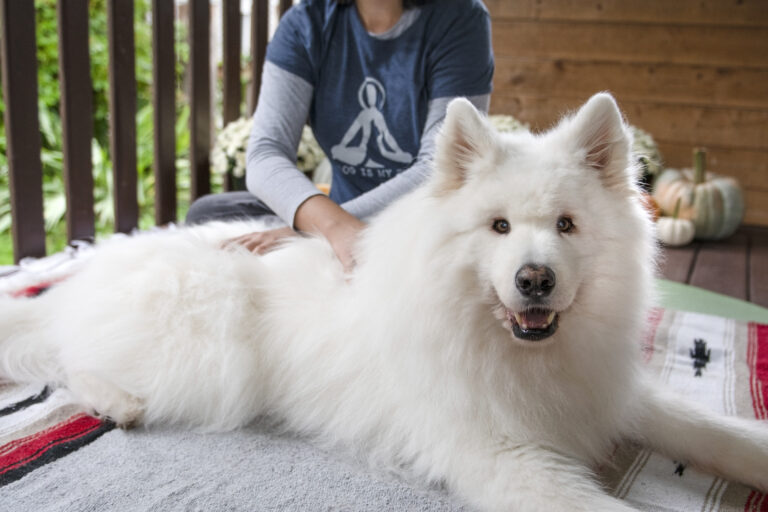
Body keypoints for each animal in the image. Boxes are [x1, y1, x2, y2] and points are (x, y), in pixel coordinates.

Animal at [1, 94, 768, 510]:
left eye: (566, 226)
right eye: (498, 227)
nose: (535, 280)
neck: (516, 350)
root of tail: (101, 264)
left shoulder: (613, 395)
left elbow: (712, 432)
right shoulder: (497, 454)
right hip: (207, 356)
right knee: (66, 358)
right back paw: (116, 402)